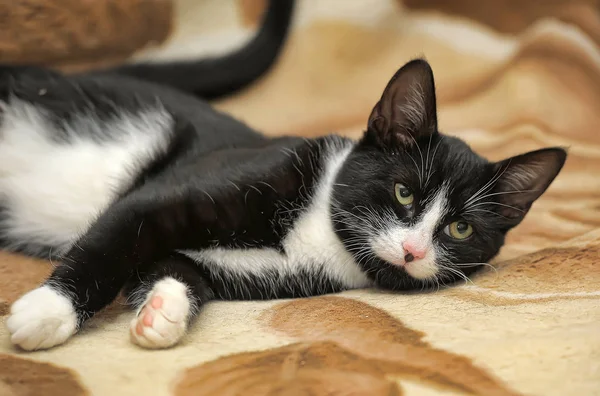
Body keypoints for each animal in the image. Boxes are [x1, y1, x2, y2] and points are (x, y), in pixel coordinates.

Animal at [1, 57, 564, 352]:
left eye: (460, 229)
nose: (413, 251)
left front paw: (161, 313)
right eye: (404, 192)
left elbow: (175, 267)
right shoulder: (182, 186)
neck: (320, 234)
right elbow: (115, 237)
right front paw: (48, 311)